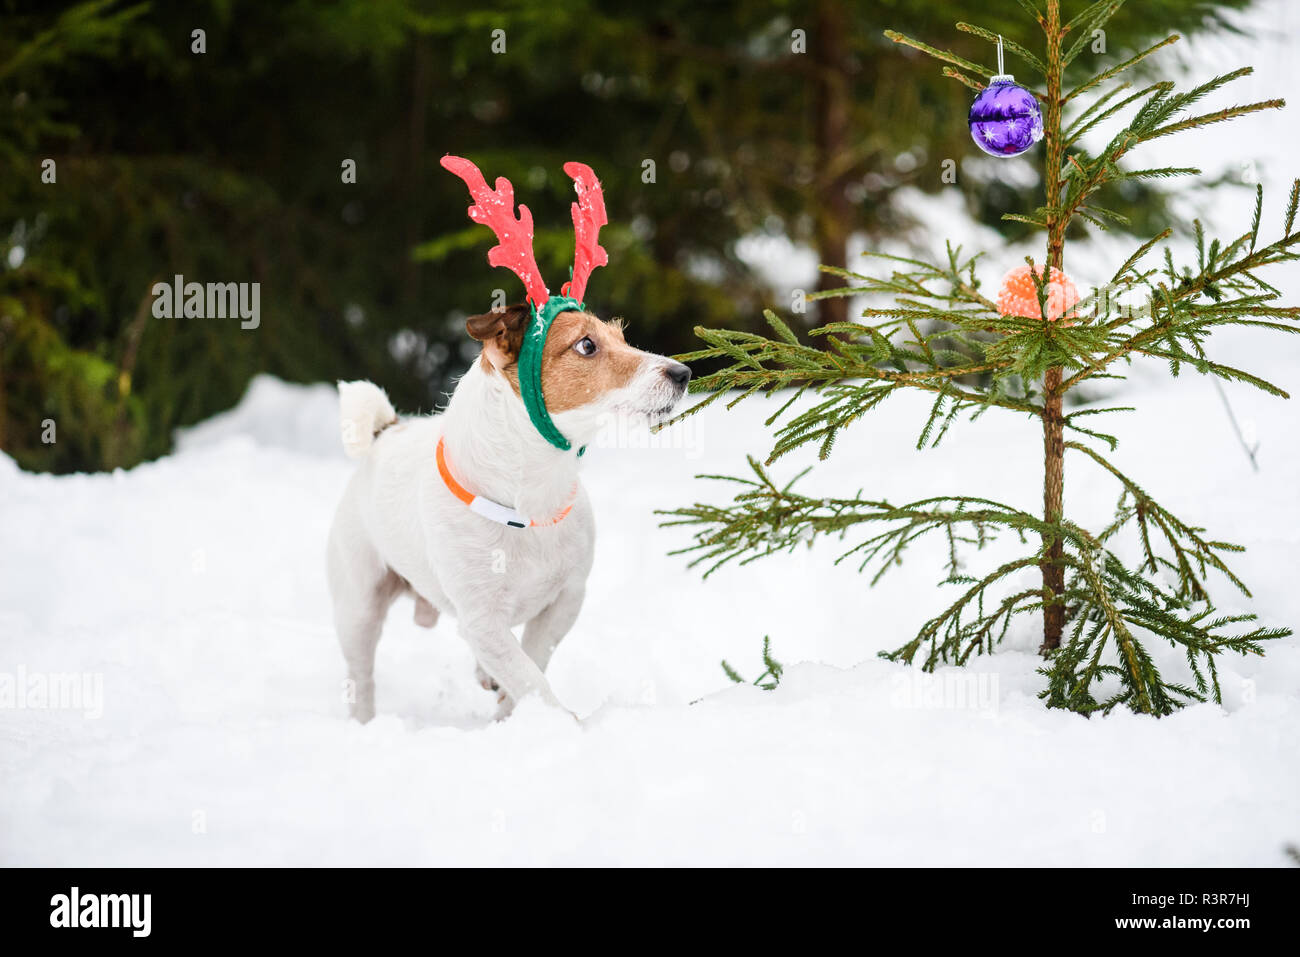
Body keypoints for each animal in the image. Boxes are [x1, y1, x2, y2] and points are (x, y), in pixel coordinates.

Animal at [325, 158, 691, 722]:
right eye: (586, 345)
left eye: (622, 336)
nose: (683, 372)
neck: (531, 496)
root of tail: (387, 429)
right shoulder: (481, 619)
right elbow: (529, 677)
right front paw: (558, 725)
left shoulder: (566, 599)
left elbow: (534, 658)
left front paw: (508, 713)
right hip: (358, 601)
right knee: (360, 675)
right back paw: (364, 723)